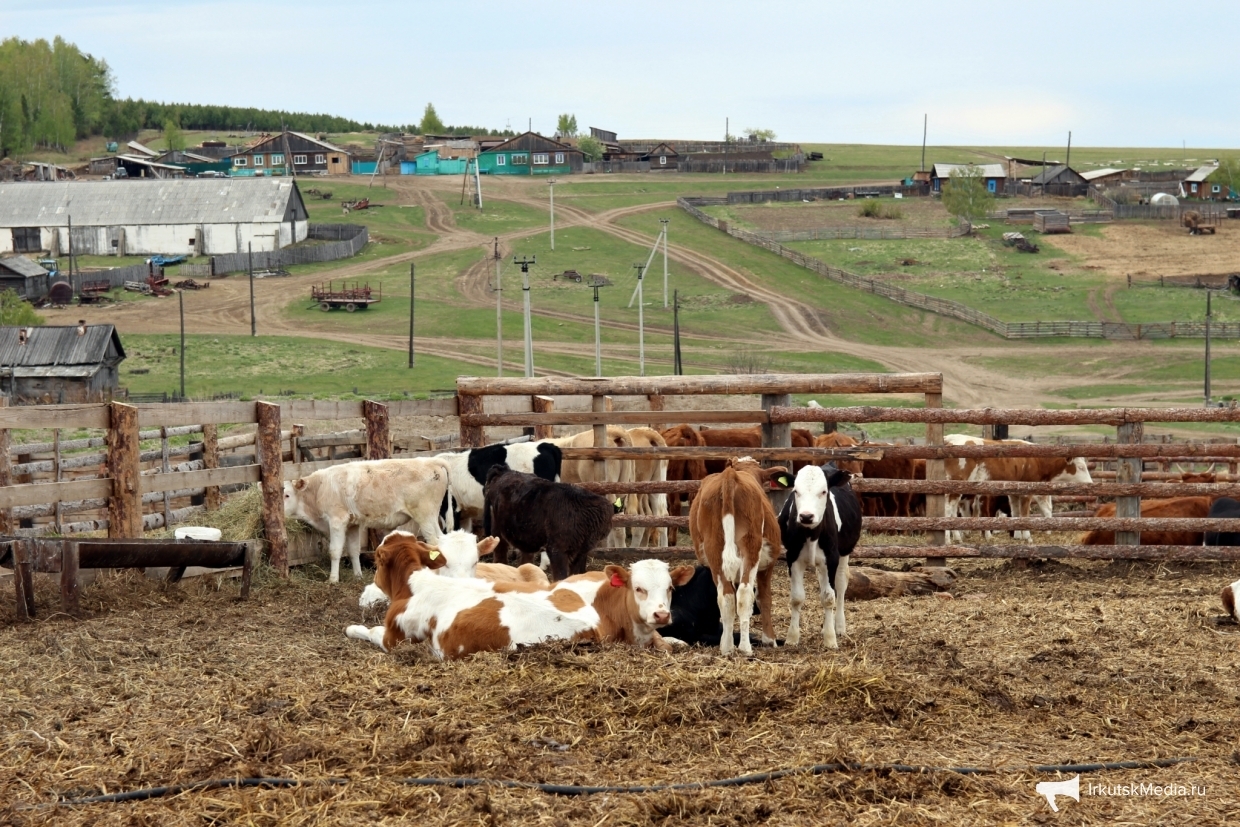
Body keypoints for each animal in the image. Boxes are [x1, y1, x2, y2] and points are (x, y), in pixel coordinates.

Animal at [347, 530, 699, 659]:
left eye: (670, 588)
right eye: (639, 587)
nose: (661, 613)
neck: (415, 583)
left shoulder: (393, 638)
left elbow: (366, 631)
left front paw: (353, 628)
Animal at [481, 466, 612, 582]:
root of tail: (505, 471)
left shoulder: (580, 553)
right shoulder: (557, 551)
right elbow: (561, 577)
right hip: (498, 530)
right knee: (500, 555)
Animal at [689, 456, 793, 654]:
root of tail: (731, 475)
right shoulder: (767, 566)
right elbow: (764, 599)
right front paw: (769, 640)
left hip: (715, 551)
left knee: (727, 597)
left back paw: (727, 647)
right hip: (751, 547)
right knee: (745, 593)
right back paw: (745, 648)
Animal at [773, 463, 863, 649]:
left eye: (823, 491)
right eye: (796, 491)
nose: (806, 516)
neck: (811, 534)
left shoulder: (831, 558)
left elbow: (829, 597)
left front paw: (830, 639)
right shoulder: (793, 557)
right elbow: (797, 598)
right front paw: (792, 637)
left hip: (844, 552)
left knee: (840, 584)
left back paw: (839, 627)